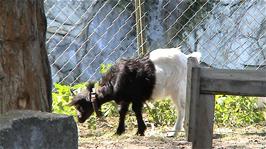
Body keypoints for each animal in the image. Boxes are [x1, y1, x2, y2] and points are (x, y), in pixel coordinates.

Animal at [69, 47, 201, 136]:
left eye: (81, 106)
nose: (79, 119)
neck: (115, 80)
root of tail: (188, 58)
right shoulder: (126, 99)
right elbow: (122, 111)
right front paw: (119, 131)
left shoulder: (137, 97)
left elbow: (136, 110)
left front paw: (140, 131)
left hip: (180, 89)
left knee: (182, 109)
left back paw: (175, 132)